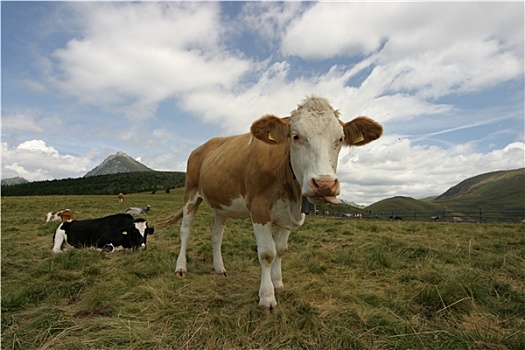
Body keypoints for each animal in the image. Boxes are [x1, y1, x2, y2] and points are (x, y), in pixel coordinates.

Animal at [164, 95, 380, 308]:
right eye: (295, 136)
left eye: (340, 139)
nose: (324, 184)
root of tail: (202, 146)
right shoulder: (259, 209)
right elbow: (267, 253)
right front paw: (267, 297)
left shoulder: (287, 215)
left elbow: (281, 250)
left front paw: (277, 283)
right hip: (191, 193)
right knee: (185, 230)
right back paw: (181, 268)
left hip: (222, 203)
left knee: (216, 232)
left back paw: (219, 268)